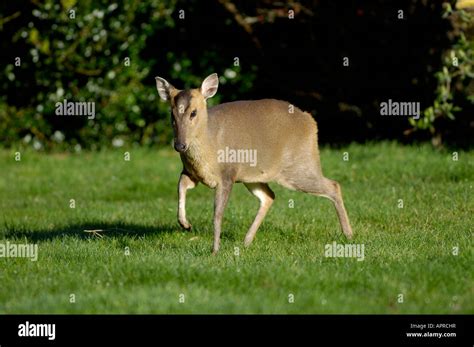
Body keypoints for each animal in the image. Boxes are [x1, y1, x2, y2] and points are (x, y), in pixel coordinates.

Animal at [156, 73, 352, 254]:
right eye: (172, 114)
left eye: (193, 113)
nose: (179, 145)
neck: (209, 146)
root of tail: (311, 121)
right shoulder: (190, 172)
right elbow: (181, 187)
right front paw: (185, 224)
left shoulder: (227, 174)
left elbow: (217, 214)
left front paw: (215, 250)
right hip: (254, 176)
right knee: (269, 196)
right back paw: (247, 241)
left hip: (299, 166)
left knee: (333, 185)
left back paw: (348, 234)